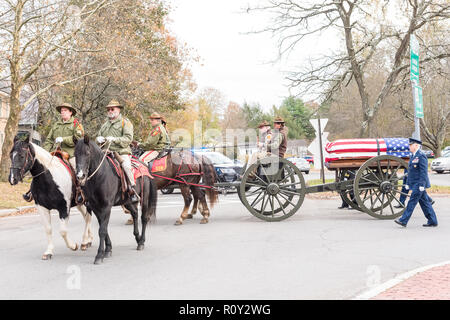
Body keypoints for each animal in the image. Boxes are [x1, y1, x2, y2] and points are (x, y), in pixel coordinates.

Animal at [74, 136, 157, 264]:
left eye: (87, 153)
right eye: (75, 154)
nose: (80, 176)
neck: (99, 176)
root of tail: (143, 164)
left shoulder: (106, 206)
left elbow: (102, 230)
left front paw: (99, 255)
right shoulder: (95, 207)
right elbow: (103, 228)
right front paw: (108, 249)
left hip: (145, 198)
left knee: (144, 218)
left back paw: (141, 242)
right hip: (127, 201)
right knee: (134, 213)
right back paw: (137, 238)